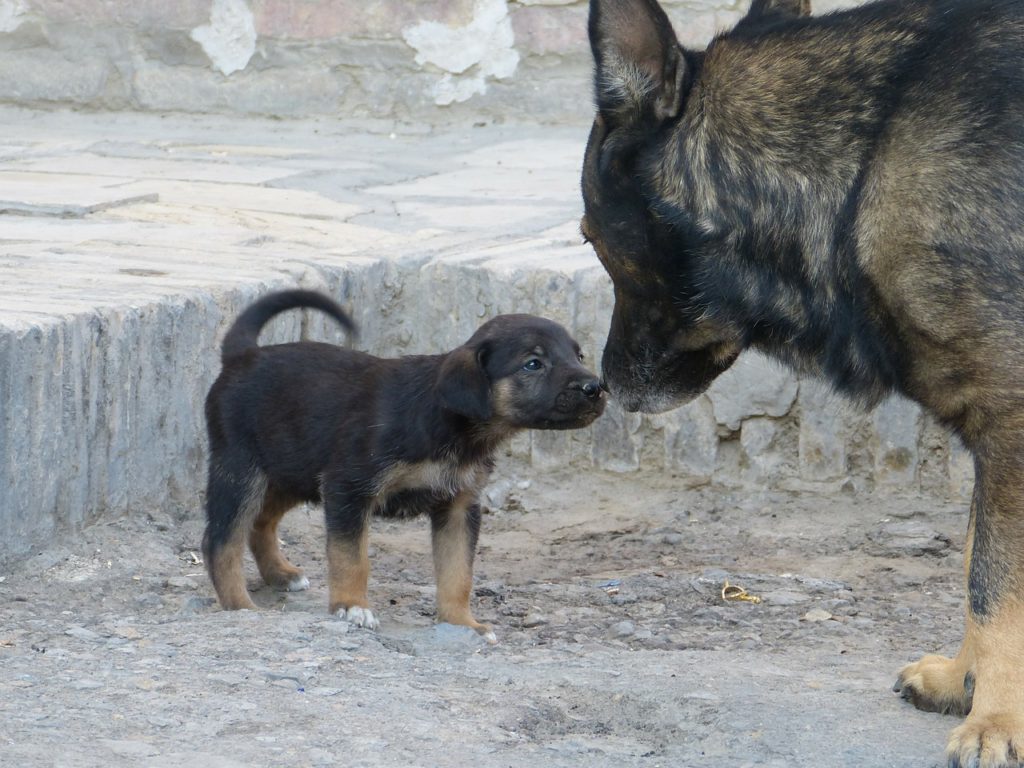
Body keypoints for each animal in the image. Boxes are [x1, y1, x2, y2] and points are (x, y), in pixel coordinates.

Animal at [201, 286, 606, 638]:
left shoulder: (459, 506)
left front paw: (462, 623)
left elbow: (457, 573)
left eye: (578, 356)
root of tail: (243, 356)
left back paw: (280, 575)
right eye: (533, 364)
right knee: (221, 541)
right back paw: (240, 606)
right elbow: (351, 558)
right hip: (241, 470)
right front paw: (351, 607)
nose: (596, 388)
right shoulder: (349, 488)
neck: (447, 424)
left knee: (261, 522)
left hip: (291, 470)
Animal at [581, 0, 1024, 765]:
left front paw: (996, 719)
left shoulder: (1012, 424)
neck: (864, 165)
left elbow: (993, 585)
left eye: (588, 237)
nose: (607, 385)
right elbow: (977, 560)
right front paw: (966, 683)